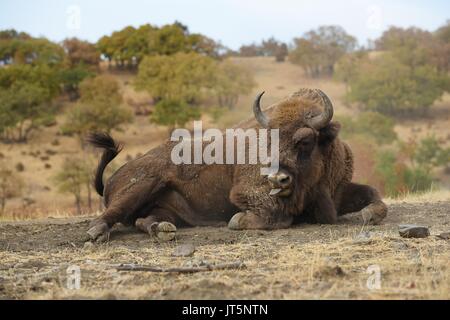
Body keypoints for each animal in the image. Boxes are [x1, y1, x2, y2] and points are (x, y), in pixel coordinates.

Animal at [87, 89, 386, 241]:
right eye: (267, 138)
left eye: (305, 140)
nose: (277, 179)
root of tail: (114, 177)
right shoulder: (246, 192)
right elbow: (277, 216)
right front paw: (237, 220)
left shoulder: (338, 193)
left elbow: (373, 195)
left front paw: (369, 215)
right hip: (144, 183)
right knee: (109, 215)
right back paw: (97, 233)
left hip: (165, 208)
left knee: (144, 219)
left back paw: (161, 230)